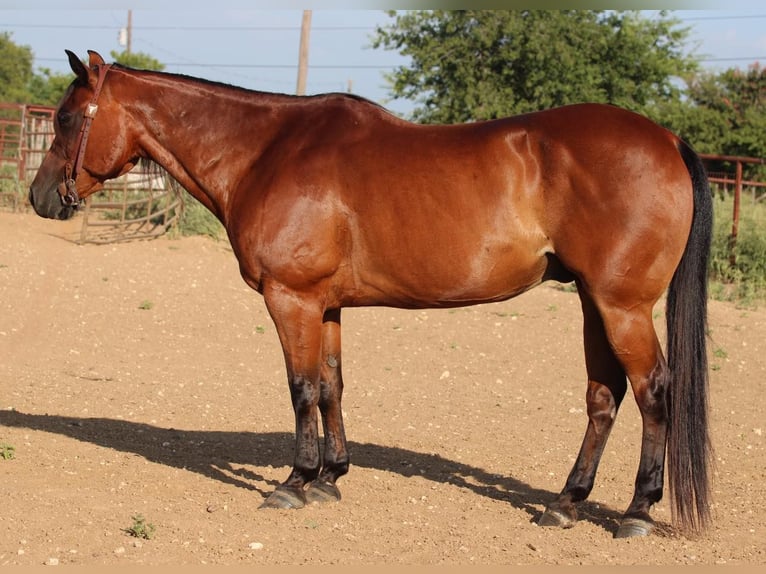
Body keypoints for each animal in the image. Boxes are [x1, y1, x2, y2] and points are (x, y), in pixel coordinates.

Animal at [29, 50, 712, 538]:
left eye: (65, 119)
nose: (39, 198)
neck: (265, 153)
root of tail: (667, 140)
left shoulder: (291, 299)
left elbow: (301, 387)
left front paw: (294, 481)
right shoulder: (325, 304)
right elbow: (331, 384)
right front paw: (330, 477)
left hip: (621, 306)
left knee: (653, 393)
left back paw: (636, 512)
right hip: (594, 303)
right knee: (605, 397)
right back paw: (566, 503)